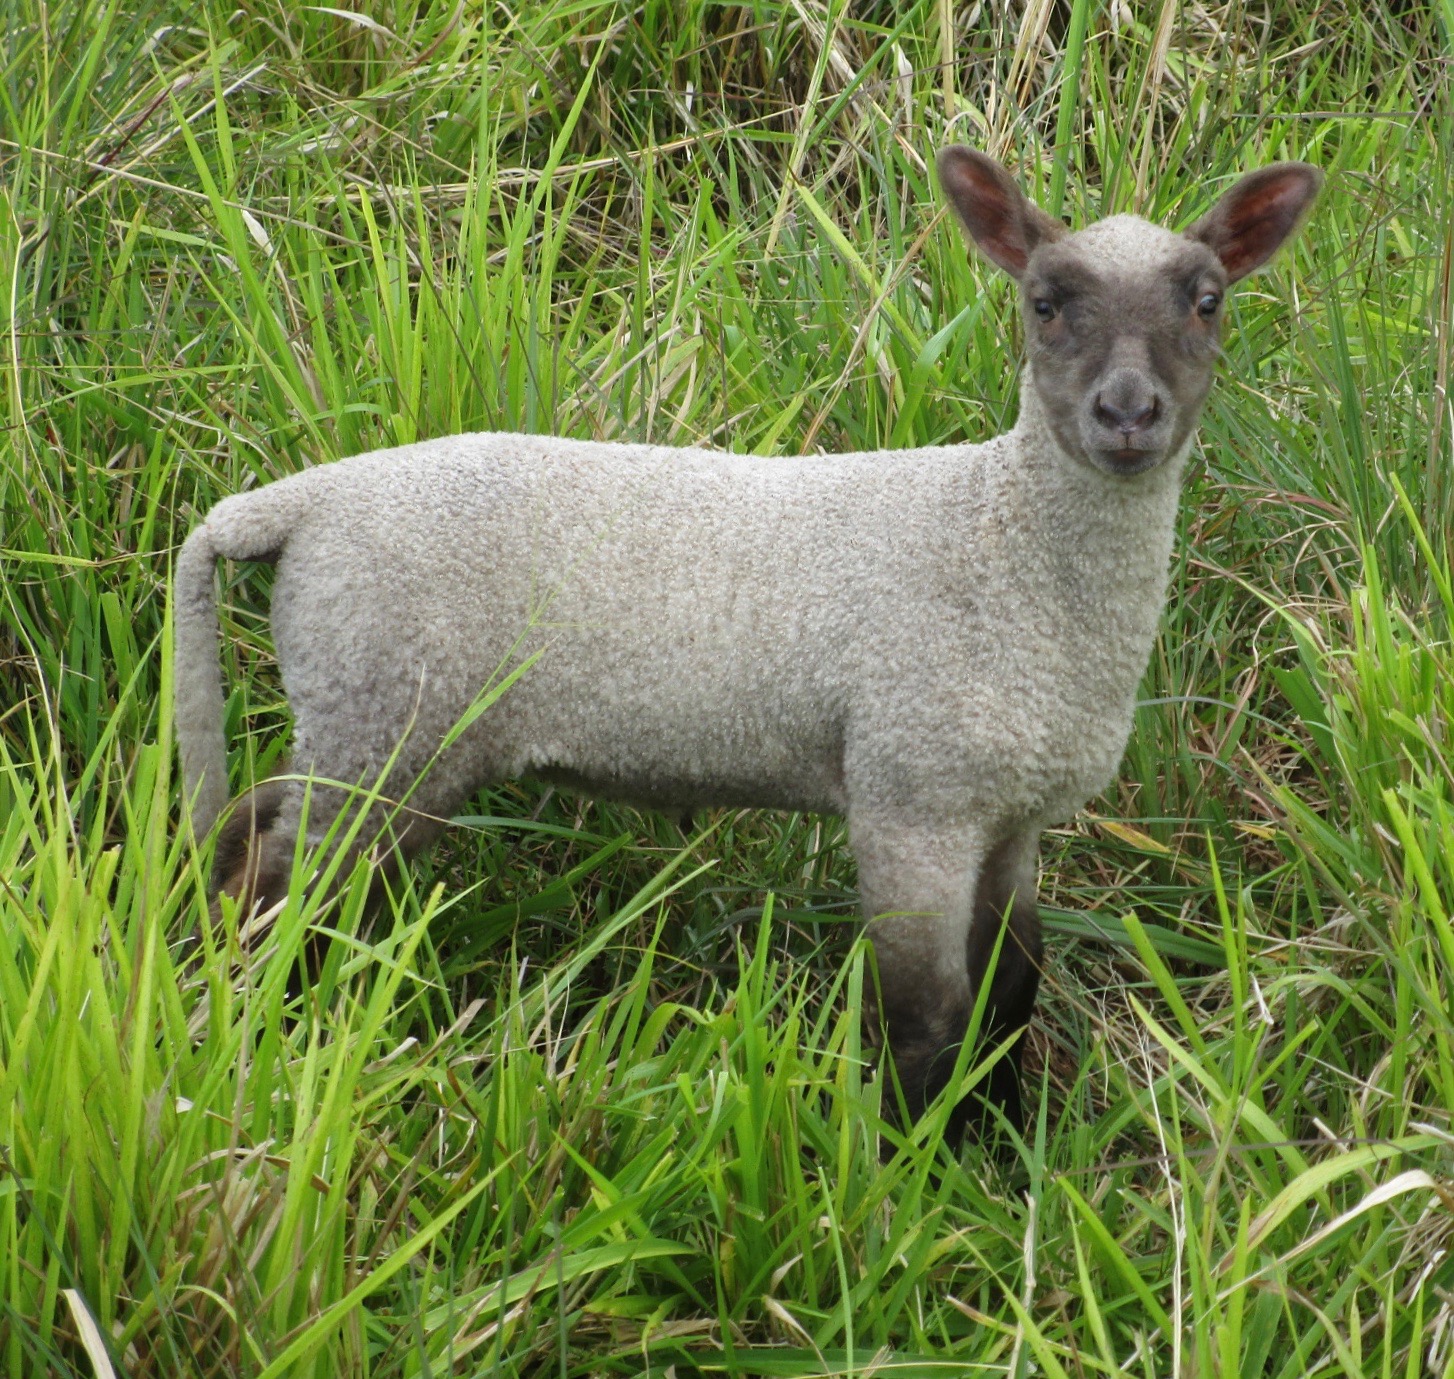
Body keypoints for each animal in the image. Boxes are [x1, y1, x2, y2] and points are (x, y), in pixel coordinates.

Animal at [170, 148, 1320, 1140]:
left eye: (1207, 300)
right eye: (1044, 303)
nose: (1126, 413)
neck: (1004, 544)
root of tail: (287, 505)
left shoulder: (1010, 812)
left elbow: (1011, 989)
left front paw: (1000, 1145)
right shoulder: (912, 797)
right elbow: (927, 1020)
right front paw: (920, 1175)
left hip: (357, 716)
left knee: (253, 826)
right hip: (393, 717)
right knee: (280, 886)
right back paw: (257, 1036)